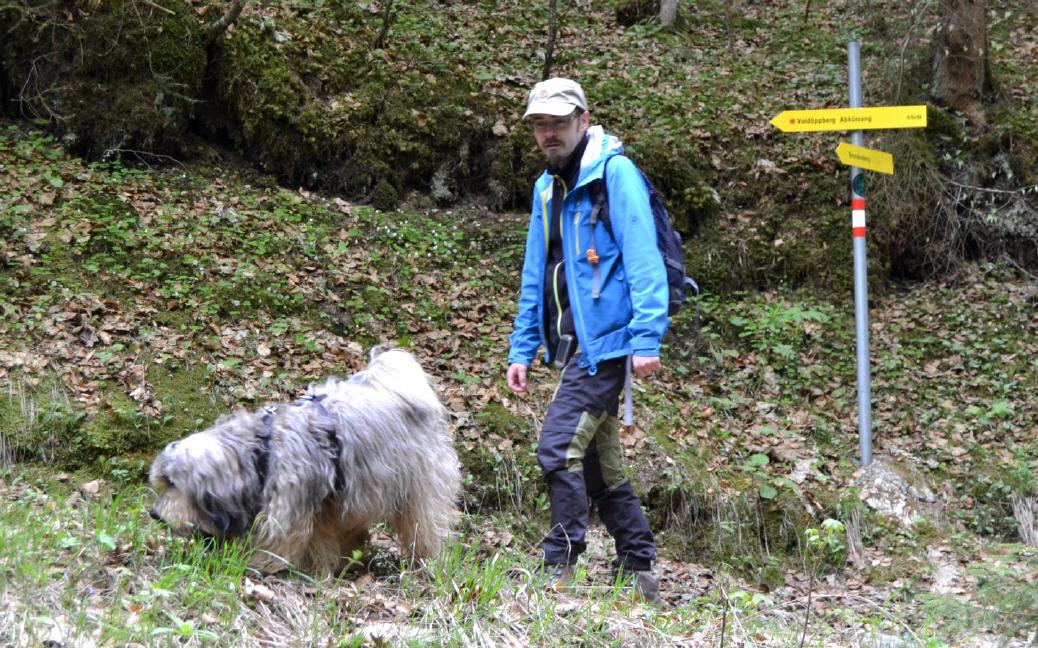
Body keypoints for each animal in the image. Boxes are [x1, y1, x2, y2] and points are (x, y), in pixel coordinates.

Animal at [148, 348, 460, 573]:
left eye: (174, 483)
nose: (154, 514)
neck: (262, 451)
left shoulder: (289, 509)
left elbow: (278, 543)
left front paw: (257, 566)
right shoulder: (317, 508)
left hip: (416, 486)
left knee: (424, 525)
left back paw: (425, 560)